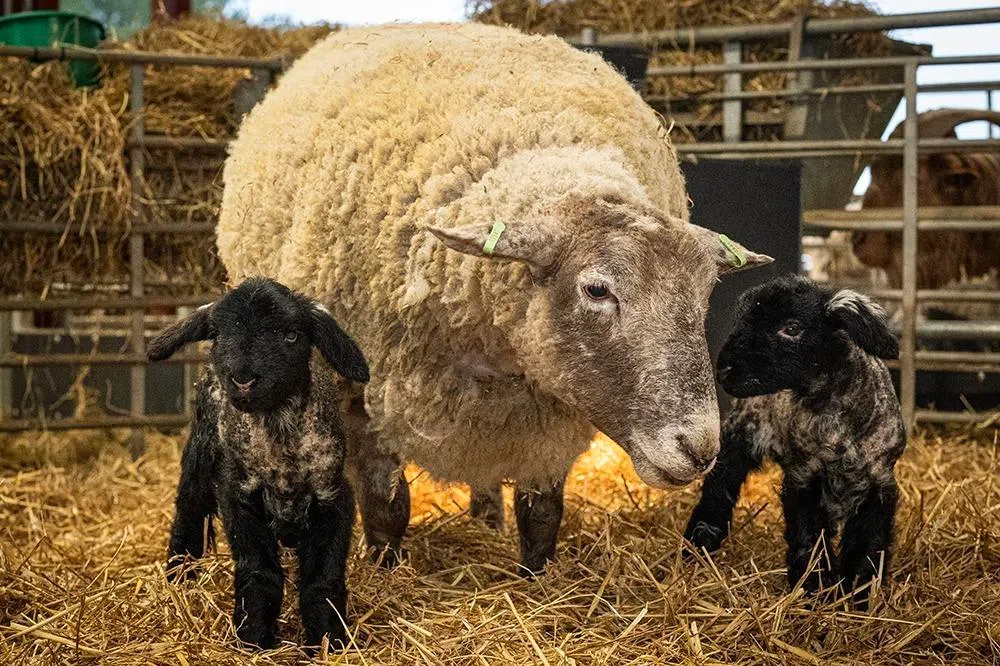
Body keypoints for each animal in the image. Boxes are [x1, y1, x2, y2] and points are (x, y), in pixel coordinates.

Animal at [147, 277, 370, 650]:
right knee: (188, 512)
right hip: (200, 453)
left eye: (291, 335)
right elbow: (260, 574)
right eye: (218, 335)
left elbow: (322, 580)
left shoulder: (333, 498)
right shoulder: (239, 497)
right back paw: (180, 579)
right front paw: (252, 639)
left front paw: (328, 640)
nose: (243, 380)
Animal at [217, 22, 772, 574]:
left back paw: (487, 521)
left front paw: (536, 578)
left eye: (704, 294)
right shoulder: (362, 395)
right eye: (596, 289)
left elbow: (542, 514)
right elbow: (386, 508)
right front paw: (386, 570)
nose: (700, 449)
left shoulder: (549, 418)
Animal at [684, 275, 906, 606]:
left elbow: (867, 543)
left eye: (791, 328)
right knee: (720, 485)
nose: (724, 370)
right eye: (742, 322)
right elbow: (808, 536)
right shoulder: (803, 476)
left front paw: (856, 594)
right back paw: (700, 540)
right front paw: (815, 588)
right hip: (741, 431)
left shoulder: (878, 481)